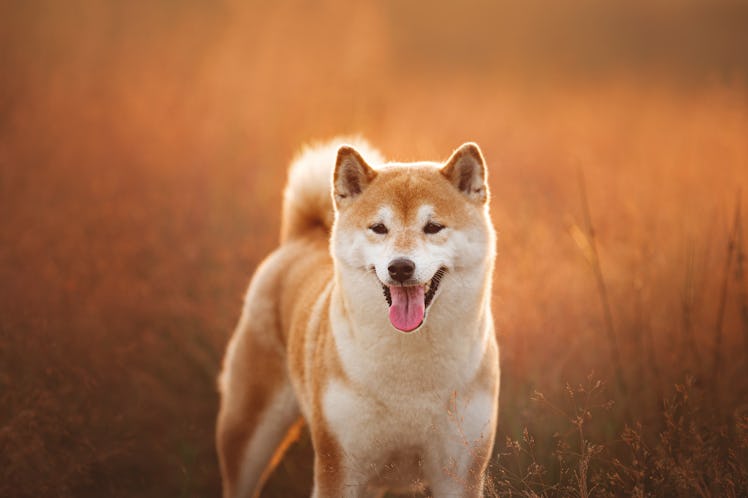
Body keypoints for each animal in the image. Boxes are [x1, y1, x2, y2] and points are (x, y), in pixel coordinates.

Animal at [213, 137, 500, 498]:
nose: (400, 267)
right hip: (248, 430)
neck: (410, 375)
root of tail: (302, 238)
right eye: (379, 228)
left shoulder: (459, 471)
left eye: (433, 227)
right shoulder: (339, 466)